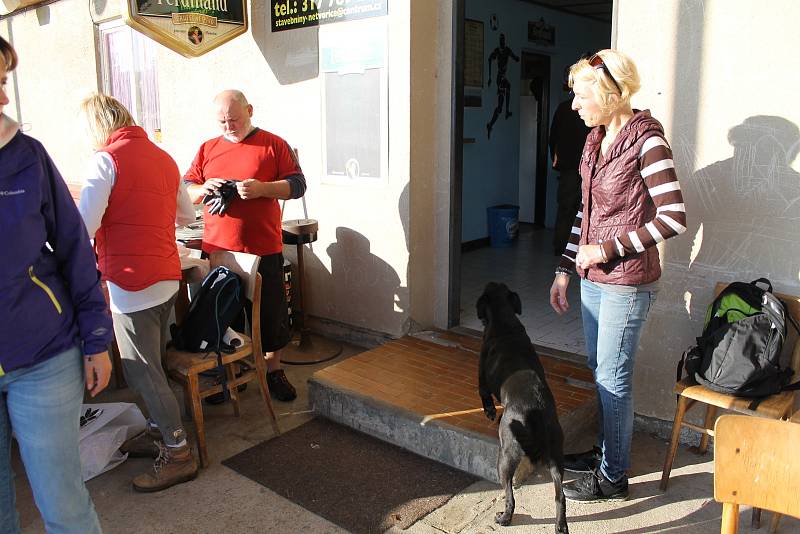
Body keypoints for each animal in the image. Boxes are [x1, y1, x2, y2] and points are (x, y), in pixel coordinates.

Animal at [478, 282, 564, 532]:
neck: (505, 321)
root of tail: (536, 413)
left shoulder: (481, 377)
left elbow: (484, 396)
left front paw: (490, 412)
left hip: (505, 456)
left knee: (510, 494)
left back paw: (504, 518)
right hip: (556, 457)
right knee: (560, 496)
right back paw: (561, 526)